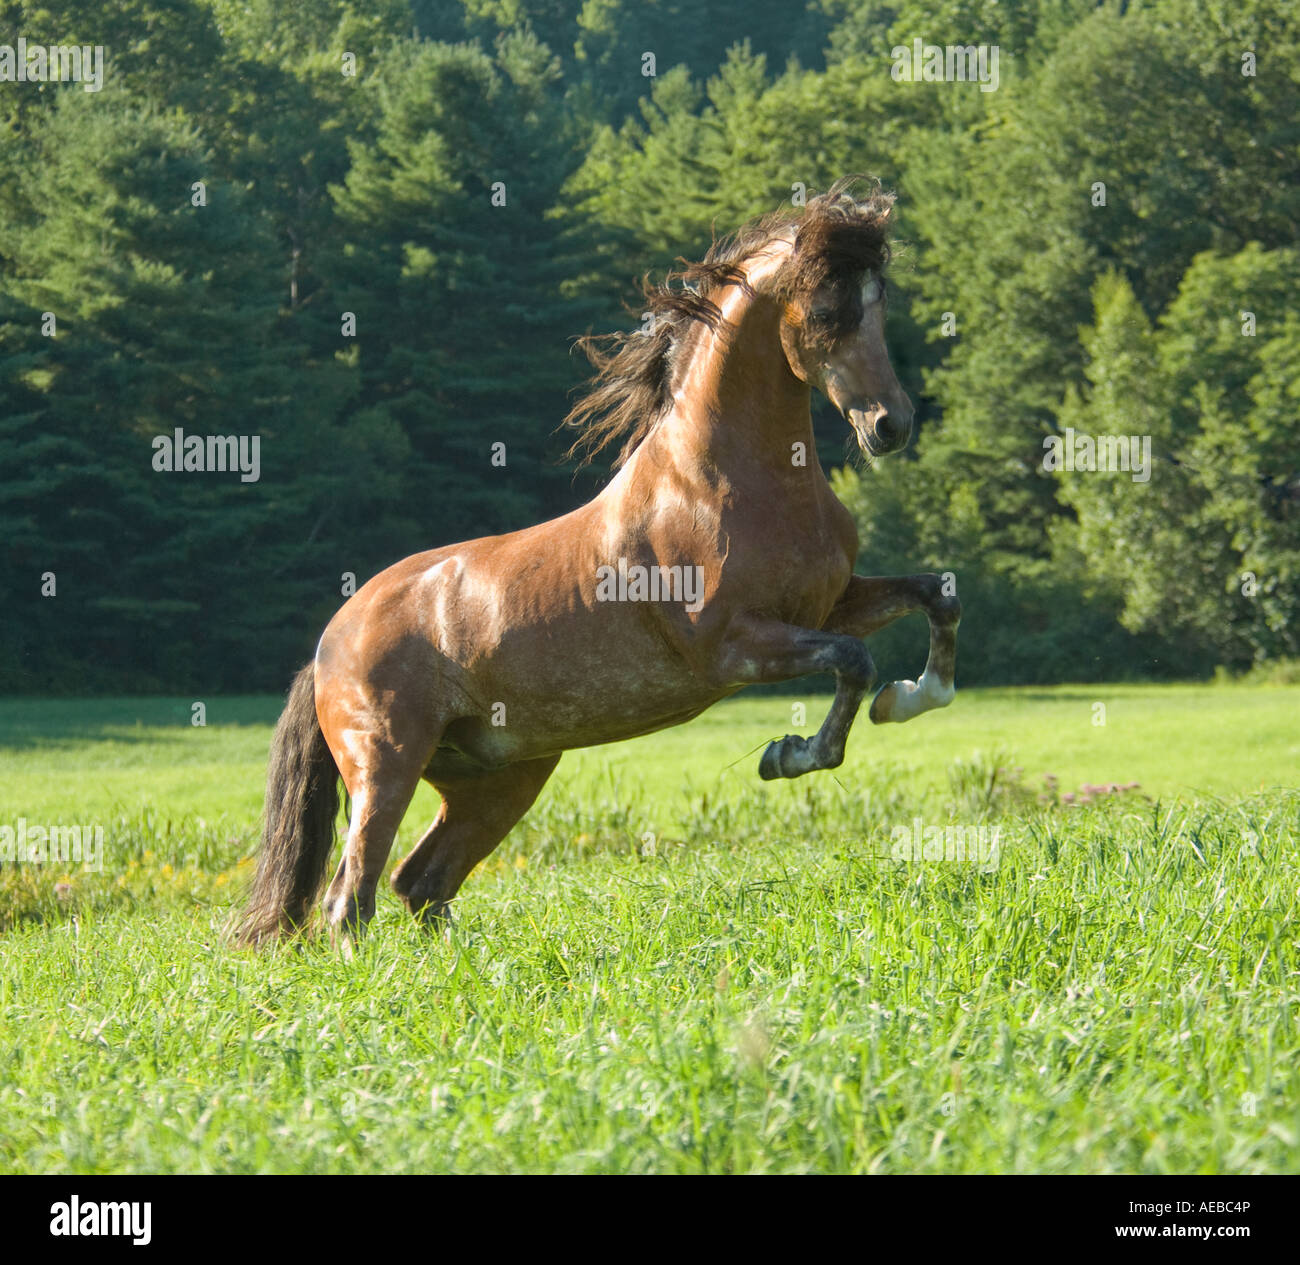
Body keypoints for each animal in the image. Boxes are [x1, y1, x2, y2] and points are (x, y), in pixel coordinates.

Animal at [239, 178, 961, 946]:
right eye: (826, 311)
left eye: (880, 305)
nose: (891, 425)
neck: (725, 483)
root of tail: (330, 643)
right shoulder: (735, 648)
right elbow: (853, 661)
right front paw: (788, 753)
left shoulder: (831, 602)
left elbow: (935, 597)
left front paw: (911, 698)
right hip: (385, 765)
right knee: (351, 895)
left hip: (500, 778)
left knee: (422, 881)